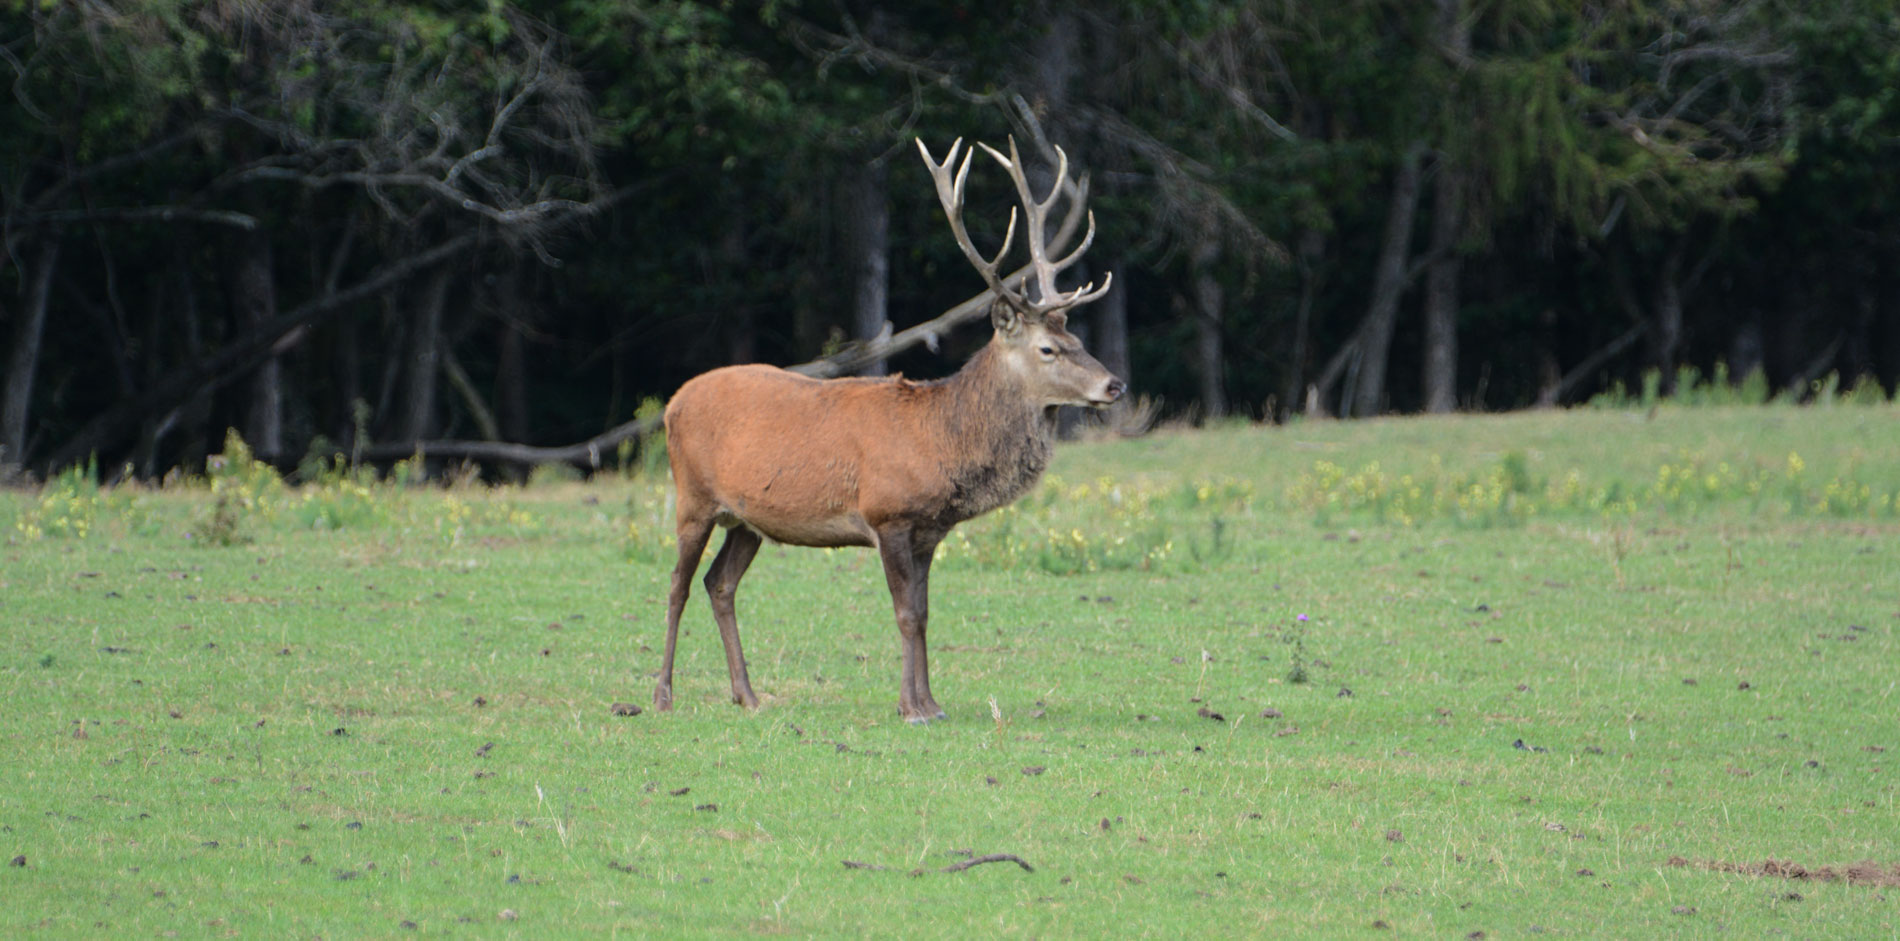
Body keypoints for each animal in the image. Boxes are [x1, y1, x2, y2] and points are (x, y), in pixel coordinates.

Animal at [653, 135, 1117, 726]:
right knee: (677, 584)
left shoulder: (929, 531)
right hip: (693, 496)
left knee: (720, 583)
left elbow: (924, 612)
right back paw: (663, 695)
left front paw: (932, 703)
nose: (1114, 385)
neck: (942, 442)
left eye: (1077, 338)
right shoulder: (887, 514)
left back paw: (748, 695)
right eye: (1048, 349)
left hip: (747, 520)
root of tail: (673, 402)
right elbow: (904, 614)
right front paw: (912, 708)